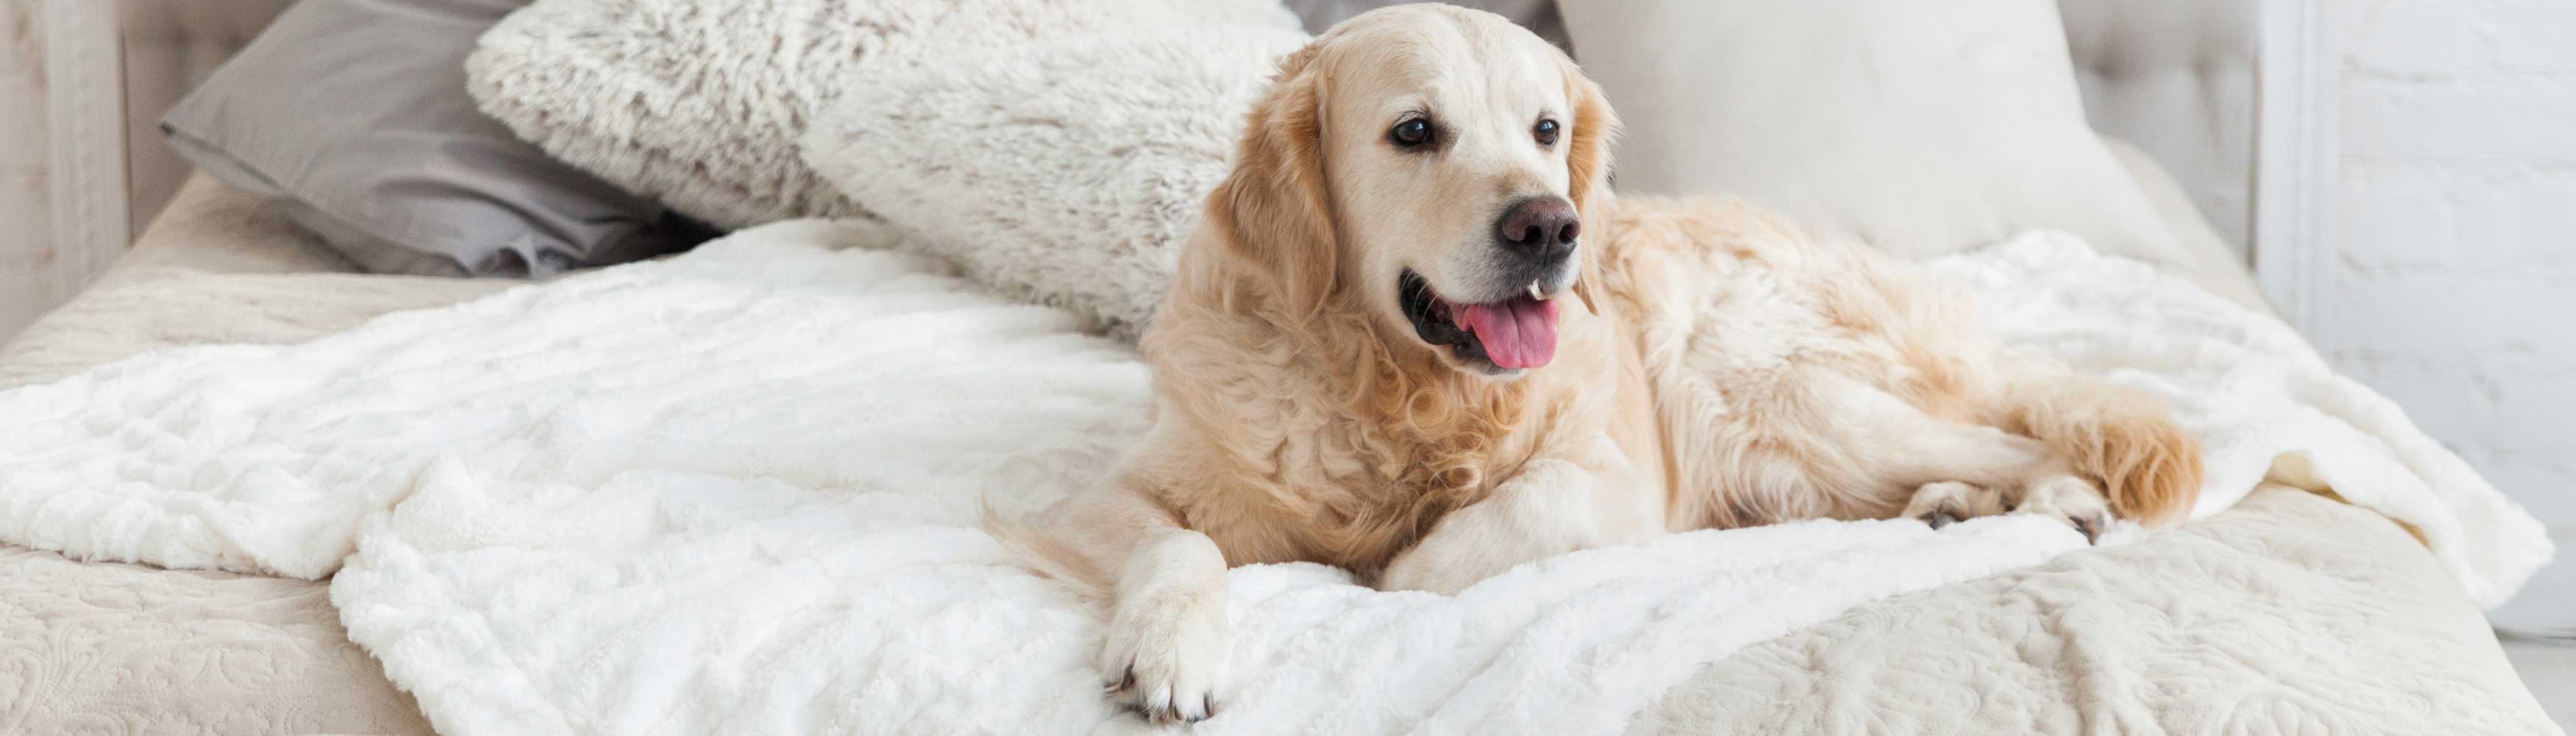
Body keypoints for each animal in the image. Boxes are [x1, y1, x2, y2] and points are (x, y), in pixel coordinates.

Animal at [994, 2, 2205, 721]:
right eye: (1414, 132)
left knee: (2004, 423)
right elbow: (1181, 546)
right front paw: (1169, 650)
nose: (1551, 227)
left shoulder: (1617, 484)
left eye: (1543, 129)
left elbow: (1453, 551)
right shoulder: (1108, 493)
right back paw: (1955, 506)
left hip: (1771, 395)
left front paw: (1386, 570)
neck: (1398, 396)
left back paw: (2052, 498)